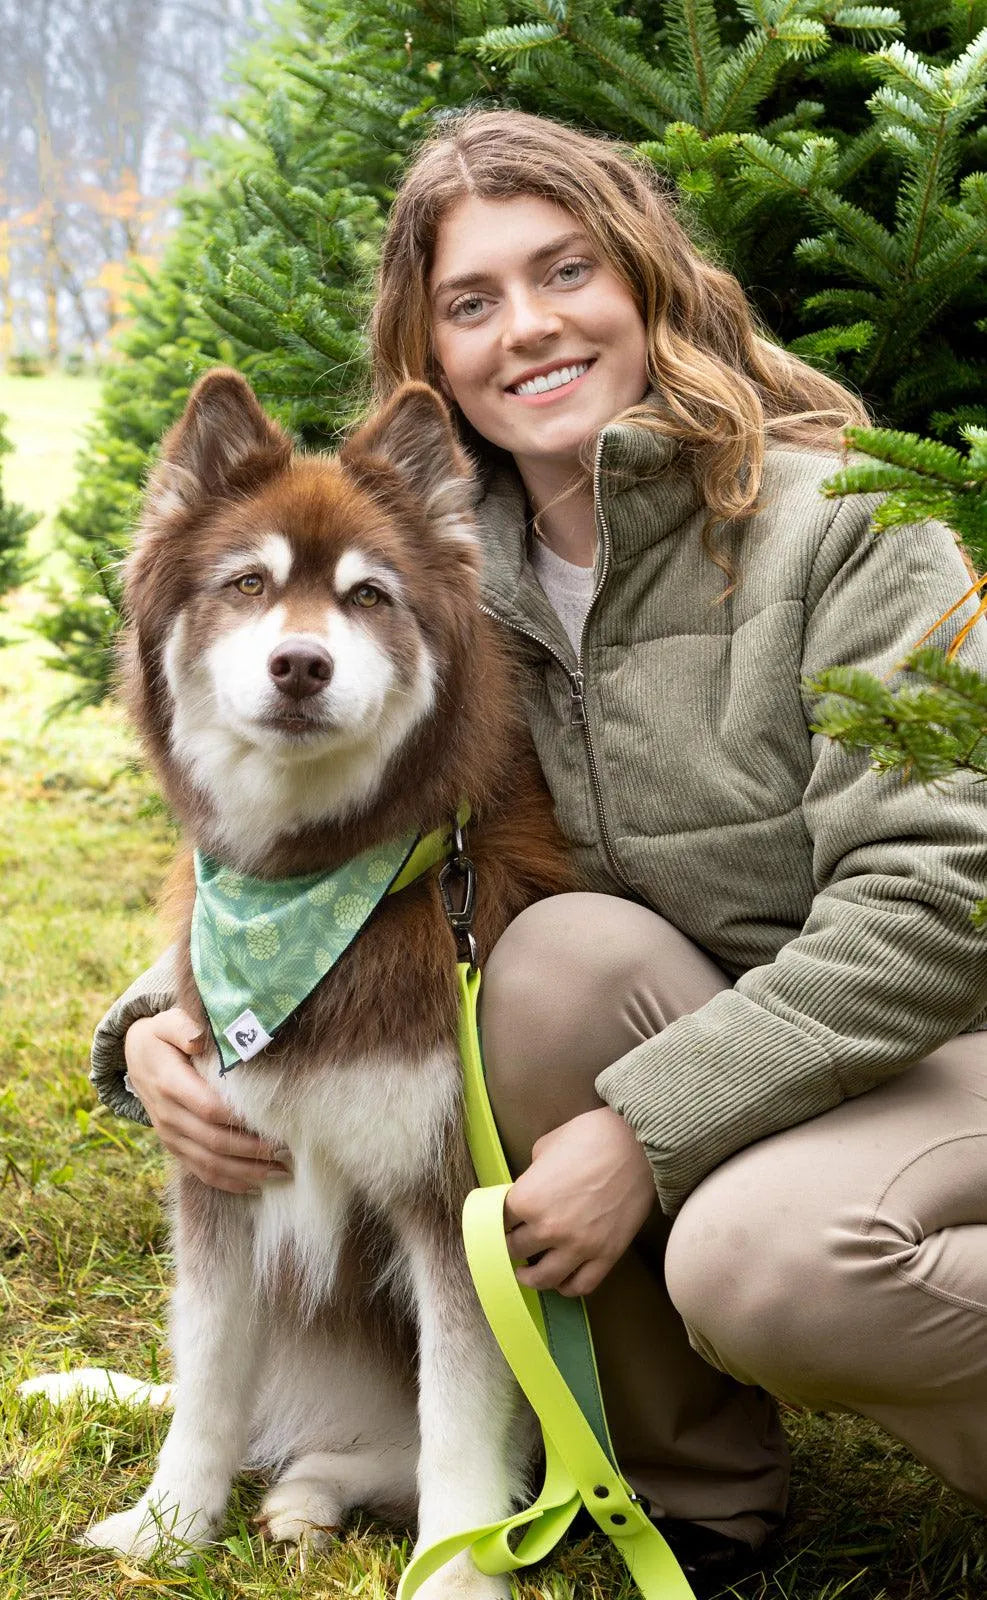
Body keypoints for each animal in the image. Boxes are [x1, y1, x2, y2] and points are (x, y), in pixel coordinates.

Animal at [80, 368, 572, 1593]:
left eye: (367, 597)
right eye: (248, 582)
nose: (300, 664)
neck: (305, 894)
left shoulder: (459, 1198)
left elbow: (462, 1416)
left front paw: (454, 1570)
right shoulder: (219, 1174)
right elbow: (208, 1376)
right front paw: (168, 1526)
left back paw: (323, 1497)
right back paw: (302, 1491)